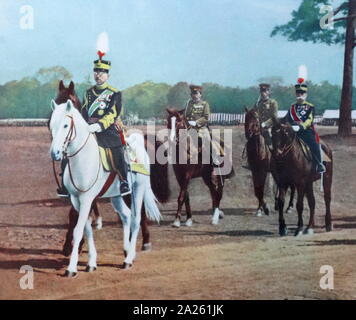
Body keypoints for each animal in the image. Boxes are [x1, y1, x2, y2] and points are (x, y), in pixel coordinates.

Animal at [54, 81, 170, 256]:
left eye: (70, 102)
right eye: (55, 102)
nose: (57, 149)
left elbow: (77, 214)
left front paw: (74, 245)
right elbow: (75, 214)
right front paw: (72, 245)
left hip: (135, 186)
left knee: (139, 212)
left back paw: (143, 242)